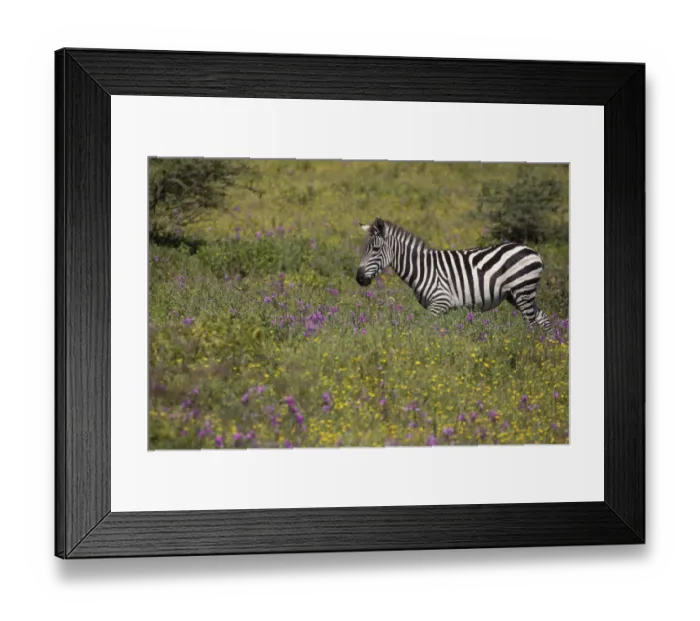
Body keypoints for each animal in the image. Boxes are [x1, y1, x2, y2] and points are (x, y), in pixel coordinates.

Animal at [355, 217, 553, 335]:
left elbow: (425, 329)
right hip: (516, 294)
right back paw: (548, 348)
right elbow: (441, 331)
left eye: (375, 249)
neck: (422, 268)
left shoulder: (439, 302)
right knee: (544, 320)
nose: (359, 278)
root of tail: (534, 252)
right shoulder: (443, 308)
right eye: (363, 249)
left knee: (531, 324)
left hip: (522, 290)